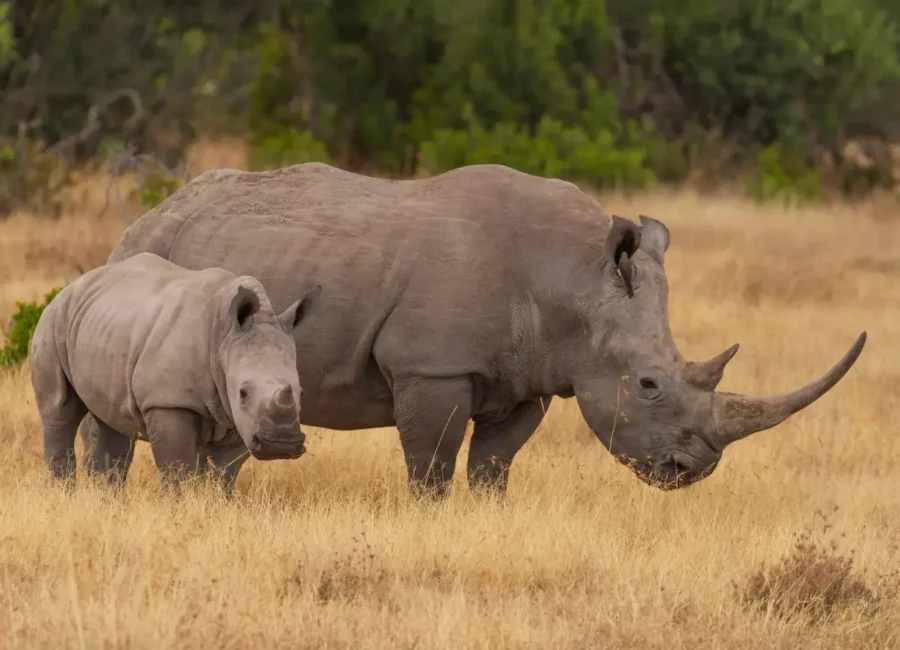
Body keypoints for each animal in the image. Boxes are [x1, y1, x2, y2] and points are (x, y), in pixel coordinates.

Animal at [30, 251, 320, 492]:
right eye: (243, 393)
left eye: (301, 392)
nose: (281, 445)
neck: (224, 337)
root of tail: (72, 286)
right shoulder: (169, 401)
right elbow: (177, 467)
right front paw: (178, 505)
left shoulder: (237, 416)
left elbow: (224, 473)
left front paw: (214, 504)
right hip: (54, 320)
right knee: (59, 411)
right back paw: (61, 495)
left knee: (113, 420)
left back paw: (107, 501)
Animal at [78, 163, 866, 496]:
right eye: (647, 384)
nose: (691, 470)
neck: (575, 279)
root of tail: (143, 216)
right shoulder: (432, 366)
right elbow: (430, 462)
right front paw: (429, 516)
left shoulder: (530, 375)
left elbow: (494, 462)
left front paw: (488, 511)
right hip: (144, 260)